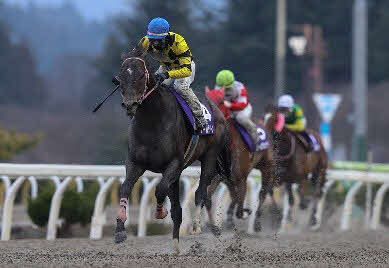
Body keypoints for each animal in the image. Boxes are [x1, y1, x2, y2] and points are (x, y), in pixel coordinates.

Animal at [205, 87, 278, 231]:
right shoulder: (220, 177)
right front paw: (215, 227)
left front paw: (245, 213)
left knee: (263, 192)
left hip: (268, 167)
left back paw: (257, 222)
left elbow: (239, 206)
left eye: (220, 101)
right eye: (206, 98)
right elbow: (210, 198)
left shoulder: (241, 179)